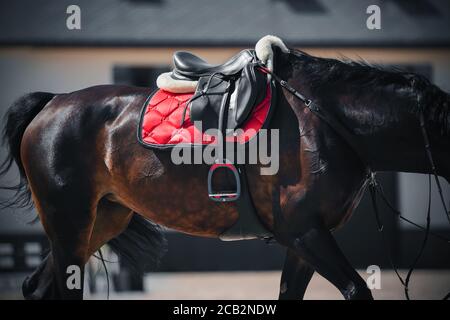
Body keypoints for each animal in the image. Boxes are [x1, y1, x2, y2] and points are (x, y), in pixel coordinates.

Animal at [0, 47, 450, 300]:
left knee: (37, 287)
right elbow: (356, 290)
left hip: (102, 220)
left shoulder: (303, 241)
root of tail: (52, 103)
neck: (324, 120)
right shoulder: (307, 233)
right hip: (69, 222)